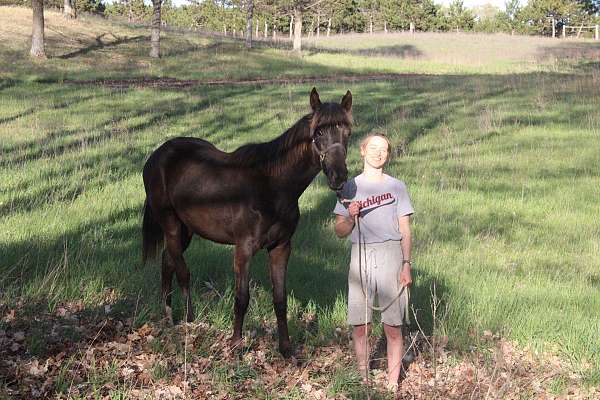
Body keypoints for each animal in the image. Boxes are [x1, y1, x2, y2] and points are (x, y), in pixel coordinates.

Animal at [142, 88, 352, 356]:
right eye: (319, 132)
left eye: (347, 133)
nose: (339, 176)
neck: (272, 185)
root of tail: (157, 155)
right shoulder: (243, 249)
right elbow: (242, 298)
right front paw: (235, 346)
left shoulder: (281, 247)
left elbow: (280, 299)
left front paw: (286, 349)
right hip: (170, 223)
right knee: (181, 271)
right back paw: (188, 321)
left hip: (185, 229)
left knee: (167, 261)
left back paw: (169, 317)